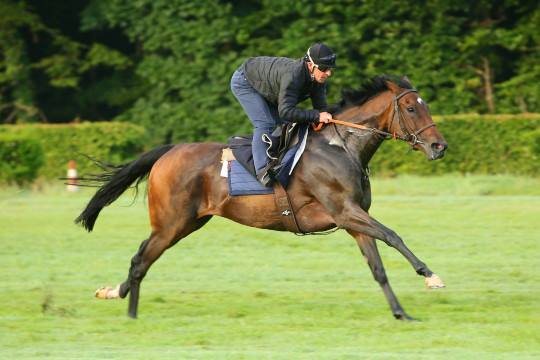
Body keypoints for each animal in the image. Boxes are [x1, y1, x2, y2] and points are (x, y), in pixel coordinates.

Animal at [76, 74, 448, 320]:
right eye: (412, 109)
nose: (439, 146)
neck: (340, 146)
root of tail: (169, 151)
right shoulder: (345, 211)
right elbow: (392, 235)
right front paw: (431, 276)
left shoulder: (353, 220)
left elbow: (378, 267)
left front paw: (401, 312)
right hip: (171, 223)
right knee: (141, 259)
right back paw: (131, 313)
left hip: (186, 224)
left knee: (142, 256)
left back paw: (113, 292)